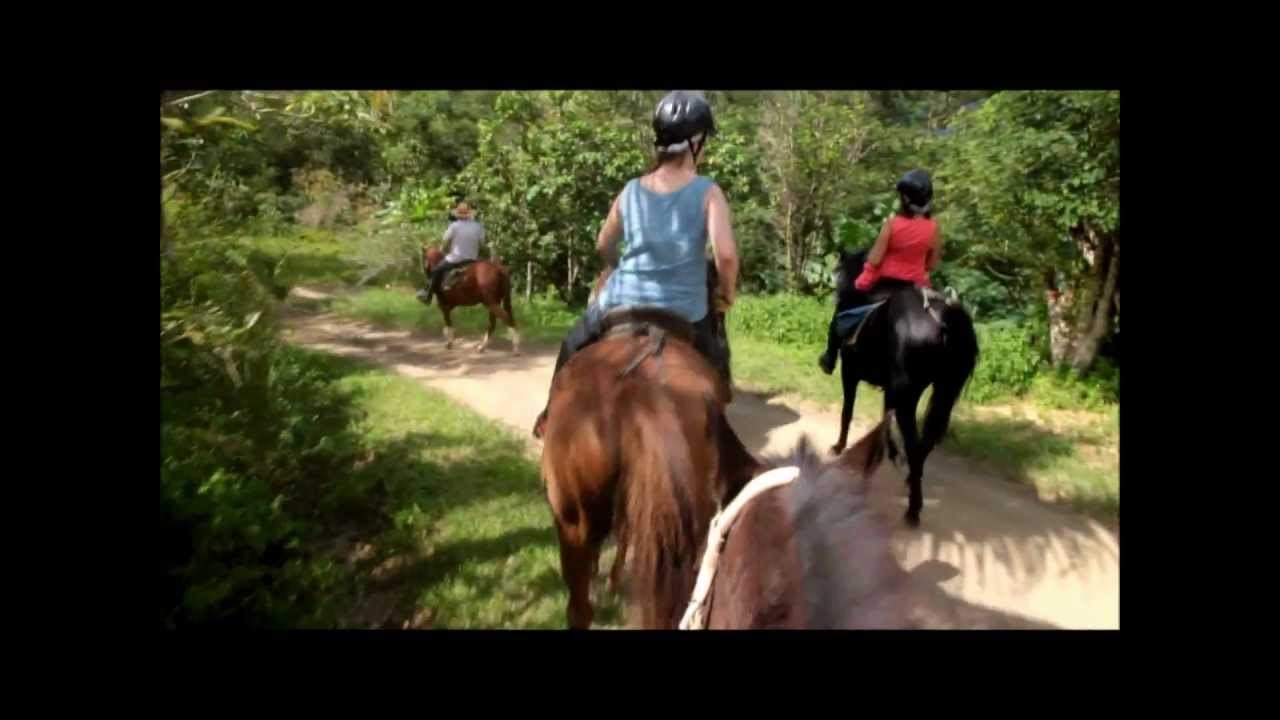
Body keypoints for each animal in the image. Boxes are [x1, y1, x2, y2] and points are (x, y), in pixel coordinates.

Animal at [827, 249, 979, 527]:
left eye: (839, 272)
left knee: (914, 441)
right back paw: (911, 482)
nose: (837, 296)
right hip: (943, 390)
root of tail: (943, 320)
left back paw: (913, 508)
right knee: (925, 441)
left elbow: (848, 411)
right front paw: (888, 451)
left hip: (909, 393)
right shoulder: (891, 388)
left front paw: (839, 446)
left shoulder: (850, 372)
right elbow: (885, 418)